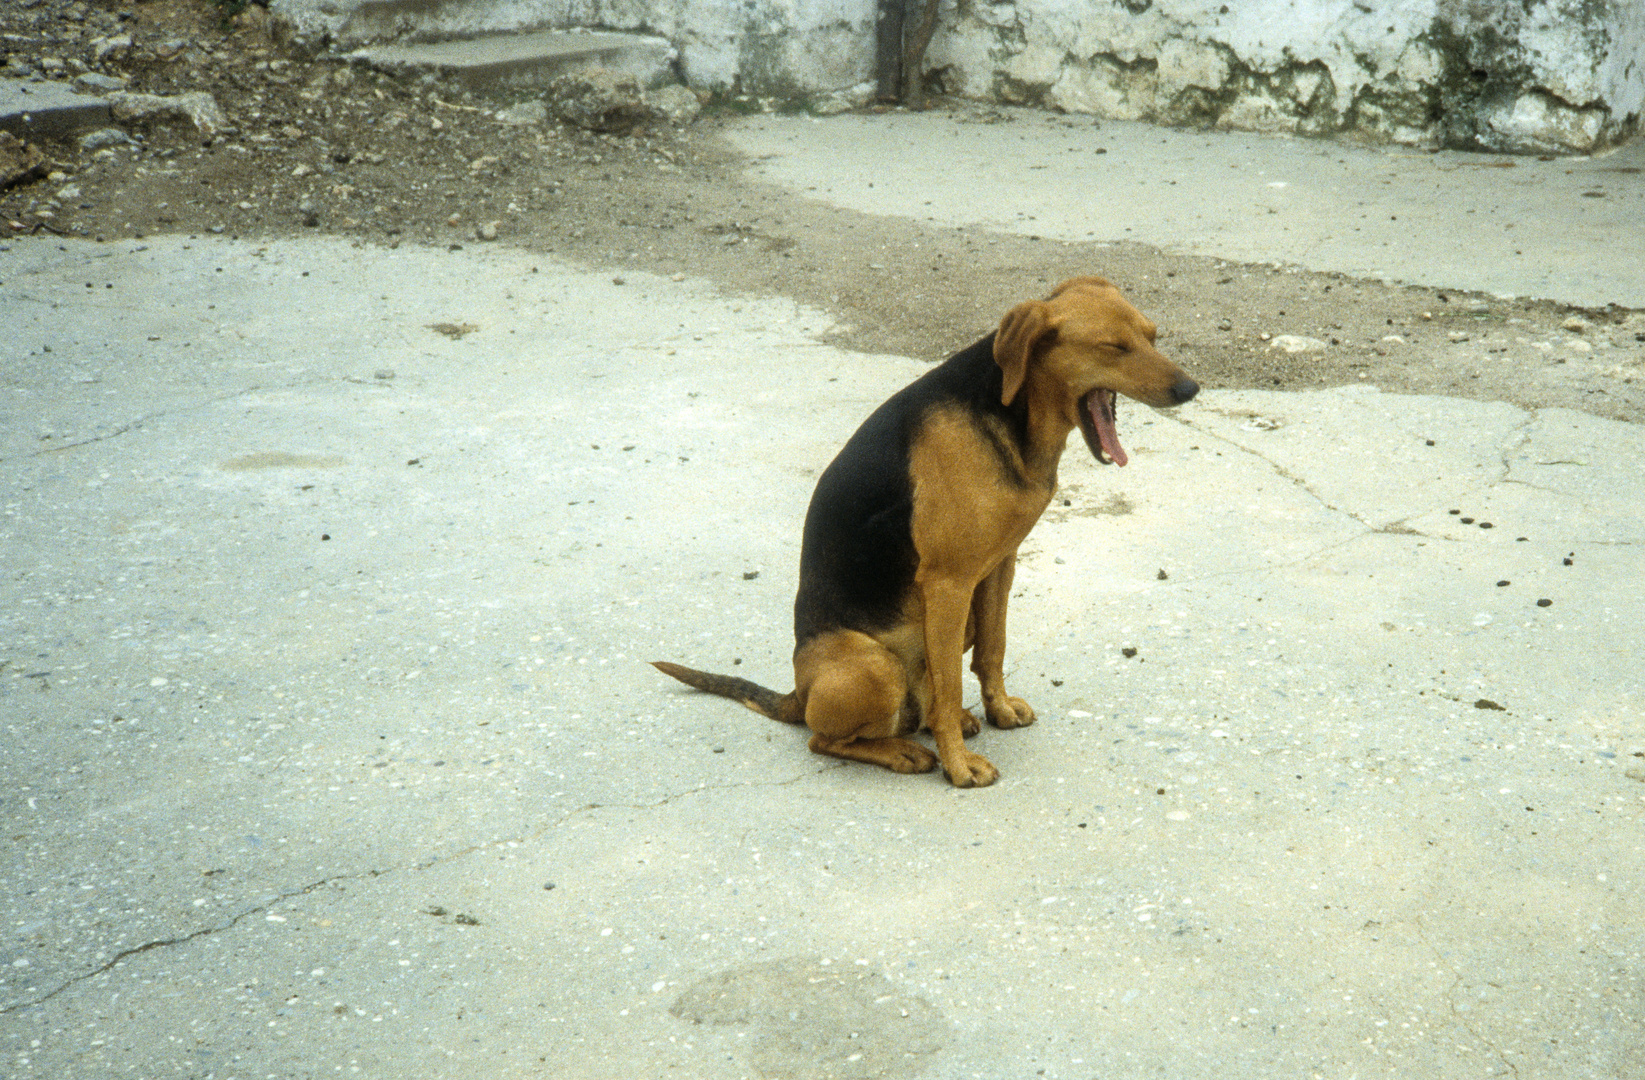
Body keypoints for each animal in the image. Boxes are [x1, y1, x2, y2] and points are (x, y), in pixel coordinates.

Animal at [648, 276, 1204, 782]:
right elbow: (954, 683)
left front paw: (997, 711)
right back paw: (905, 751)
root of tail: (797, 693)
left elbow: (993, 652)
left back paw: (946, 726)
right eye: (1114, 347)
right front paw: (959, 766)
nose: (1190, 390)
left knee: (921, 703)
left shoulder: (997, 567)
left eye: (1153, 336)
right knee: (823, 738)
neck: (1012, 414)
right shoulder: (949, 582)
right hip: (874, 667)